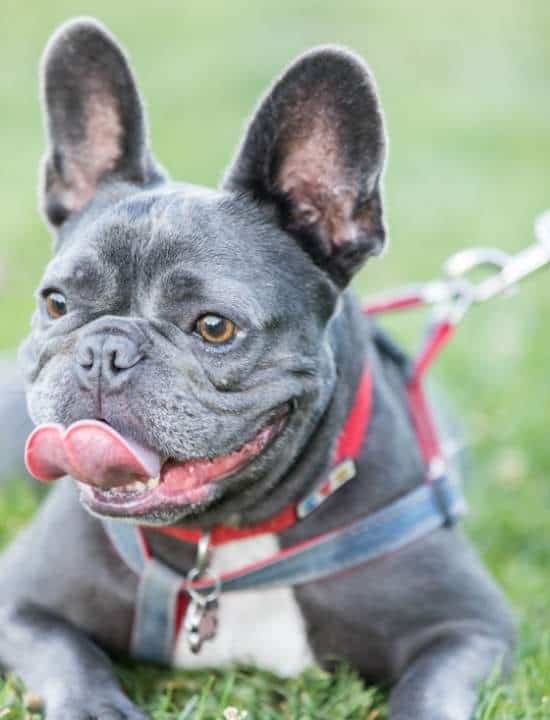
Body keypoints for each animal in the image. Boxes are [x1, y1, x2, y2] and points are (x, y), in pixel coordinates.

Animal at [1, 18, 516, 720]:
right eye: (56, 304)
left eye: (214, 327)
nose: (104, 352)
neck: (223, 543)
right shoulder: (22, 603)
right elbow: (67, 658)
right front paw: (98, 708)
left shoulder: (469, 627)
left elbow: (430, 690)